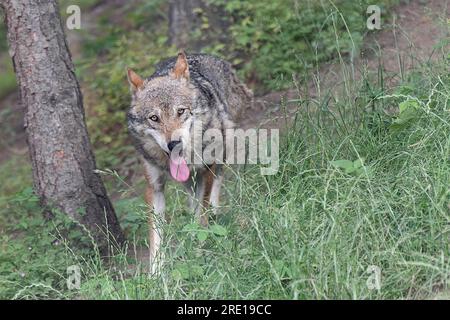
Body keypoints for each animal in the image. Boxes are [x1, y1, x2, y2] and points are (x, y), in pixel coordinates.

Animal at [126, 52, 253, 270]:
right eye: (154, 118)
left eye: (181, 111)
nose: (173, 143)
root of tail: (210, 56)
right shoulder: (154, 187)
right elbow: (156, 237)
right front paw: (156, 273)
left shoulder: (207, 169)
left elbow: (201, 213)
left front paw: (200, 248)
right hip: (188, 181)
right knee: (192, 199)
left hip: (223, 148)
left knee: (217, 181)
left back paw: (214, 212)